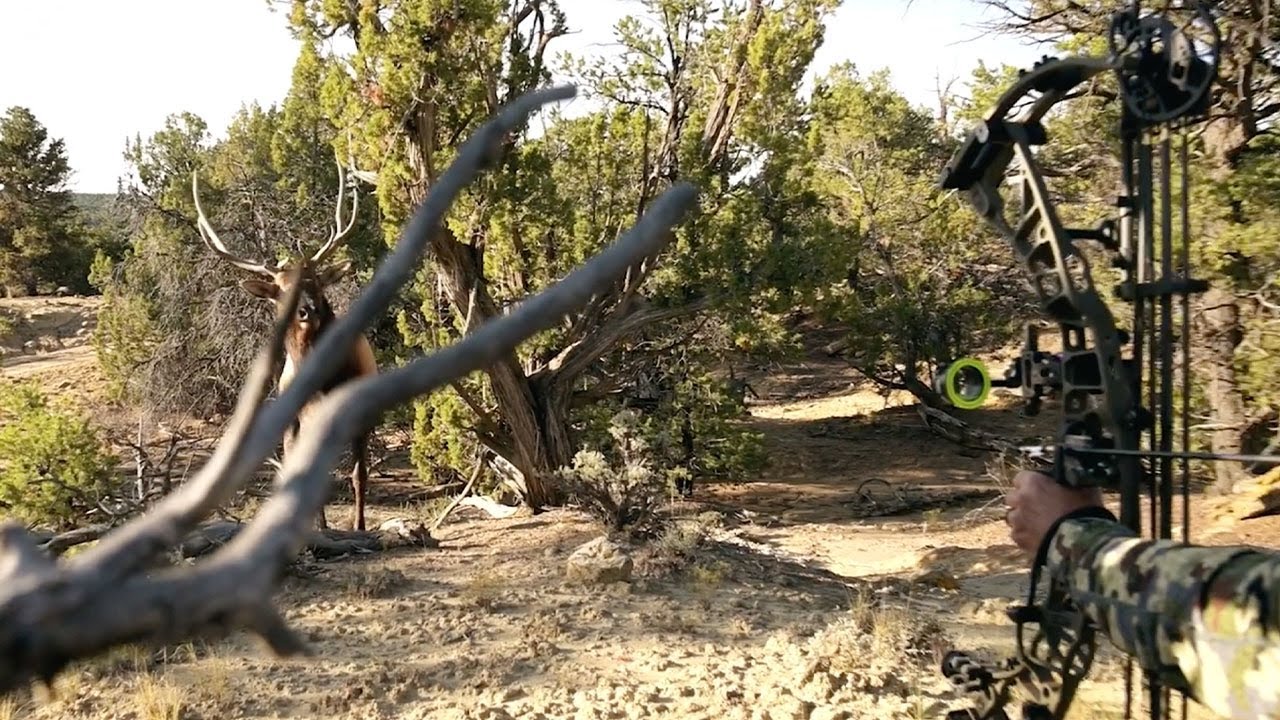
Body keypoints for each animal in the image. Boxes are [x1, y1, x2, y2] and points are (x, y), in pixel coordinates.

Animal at [191, 163, 377, 531]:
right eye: (280, 291)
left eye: (315, 281)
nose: (308, 310)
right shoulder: (297, 424)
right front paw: (321, 526)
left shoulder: (360, 413)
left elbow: (358, 475)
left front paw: (359, 527)